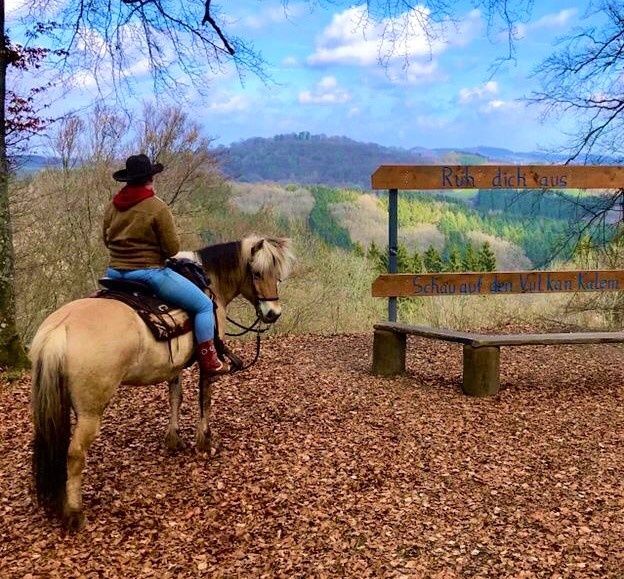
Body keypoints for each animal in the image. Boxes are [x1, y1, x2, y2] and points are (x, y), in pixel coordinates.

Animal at [32, 234, 298, 532]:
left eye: (277, 275)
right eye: (257, 273)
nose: (273, 313)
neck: (210, 282)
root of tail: (59, 330)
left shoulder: (174, 366)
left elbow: (175, 397)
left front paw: (174, 439)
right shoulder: (207, 362)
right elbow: (204, 399)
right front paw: (204, 441)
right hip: (91, 411)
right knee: (75, 454)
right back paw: (75, 512)